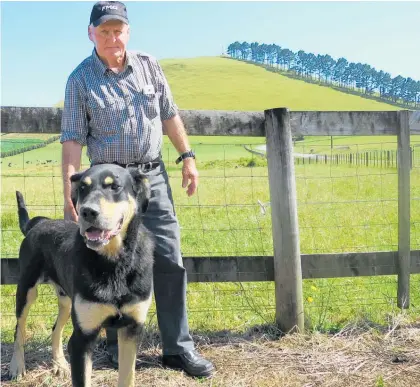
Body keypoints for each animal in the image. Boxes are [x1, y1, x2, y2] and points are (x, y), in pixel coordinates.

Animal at [8, 164, 155, 387]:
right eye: (83, 189)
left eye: (115, 186)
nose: (88, 211)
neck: (113, 263)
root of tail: (37, 224)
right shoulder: (82, 339)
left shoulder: (132, 328)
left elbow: (127, 376)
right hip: (26, 290)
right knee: (20, 328)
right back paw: (16, 366)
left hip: (66, 300)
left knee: (55, 329)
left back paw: (60, 365)